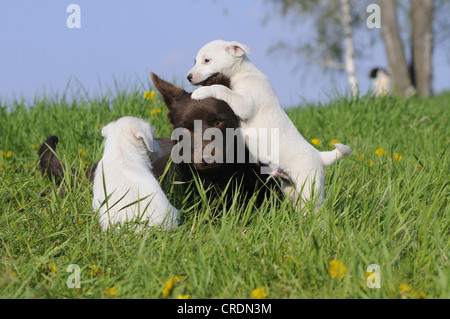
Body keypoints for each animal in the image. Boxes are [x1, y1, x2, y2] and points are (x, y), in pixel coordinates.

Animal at [188, 39, 354, 210]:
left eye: (206, 60)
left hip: (309, 187)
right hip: (289, 187)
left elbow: (221, 88)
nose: (188, 77)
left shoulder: (246, 104)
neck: (242, 73)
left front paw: (201, 92)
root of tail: (320, 156)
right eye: (195, 61)